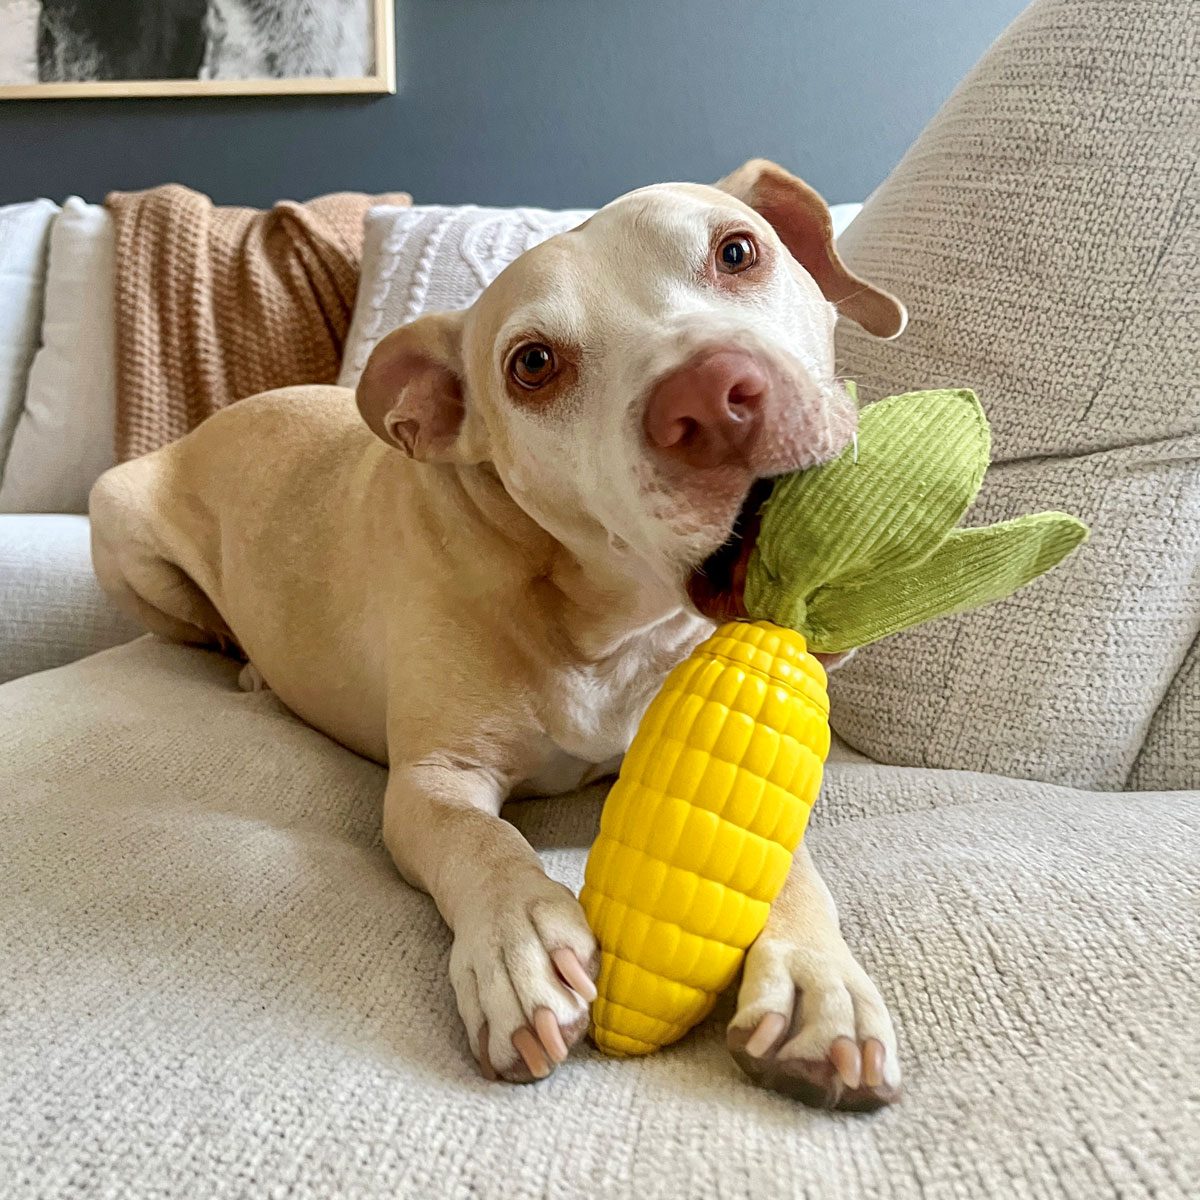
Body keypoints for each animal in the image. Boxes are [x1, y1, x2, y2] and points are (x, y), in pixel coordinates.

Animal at [88, 157, 902, 1104]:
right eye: (533, 365)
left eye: (737, 251)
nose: (711, 397)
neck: (611, 622)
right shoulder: (433, 780)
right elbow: (479, 839)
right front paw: (520, 945)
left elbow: (781, 860)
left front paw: (815, 977)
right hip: (120, 522)